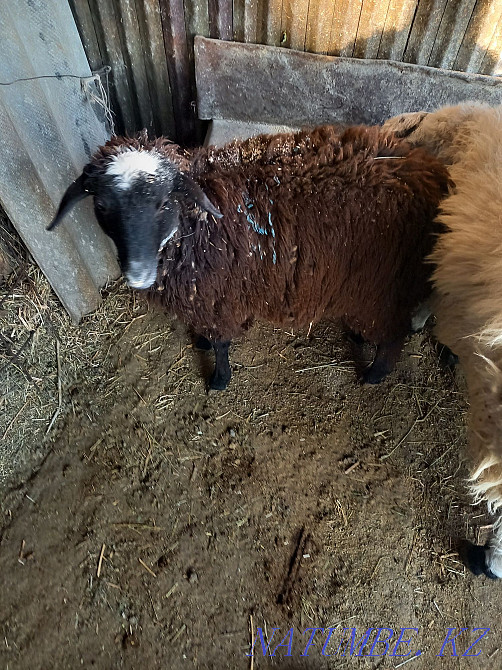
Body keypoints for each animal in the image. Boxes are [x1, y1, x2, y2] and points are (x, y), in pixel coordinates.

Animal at [48, 124, 449, 391]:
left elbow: (222, 344)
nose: (138, 275)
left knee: (393, 333)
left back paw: (373, 375)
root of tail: (430, 173)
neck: (197, 221)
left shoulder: (219, 298)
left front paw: (219, 378)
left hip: (386, 281)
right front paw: (201, 342)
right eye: (102, 206)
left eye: (164, 202)